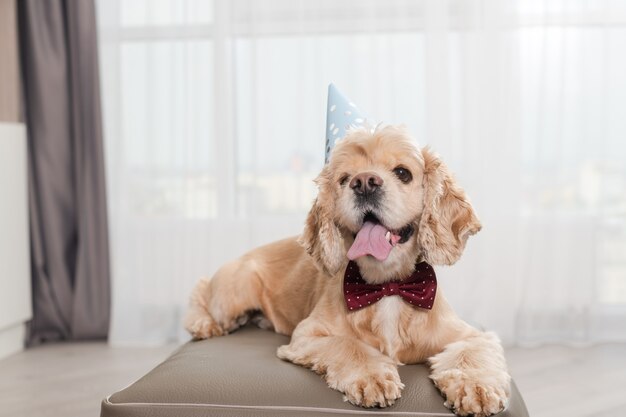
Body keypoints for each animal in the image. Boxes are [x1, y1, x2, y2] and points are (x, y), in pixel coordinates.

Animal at [183, 125, 510, 414]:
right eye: (344, 179)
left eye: (403, 172)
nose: (364, 182)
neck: (386, 286)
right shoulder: (307, 335)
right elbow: (348, 344)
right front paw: (372, 377)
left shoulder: (470, 335)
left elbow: (470, 354)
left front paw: (477, 388)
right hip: (235, 290)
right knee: (201, 289)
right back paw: (204, 324)